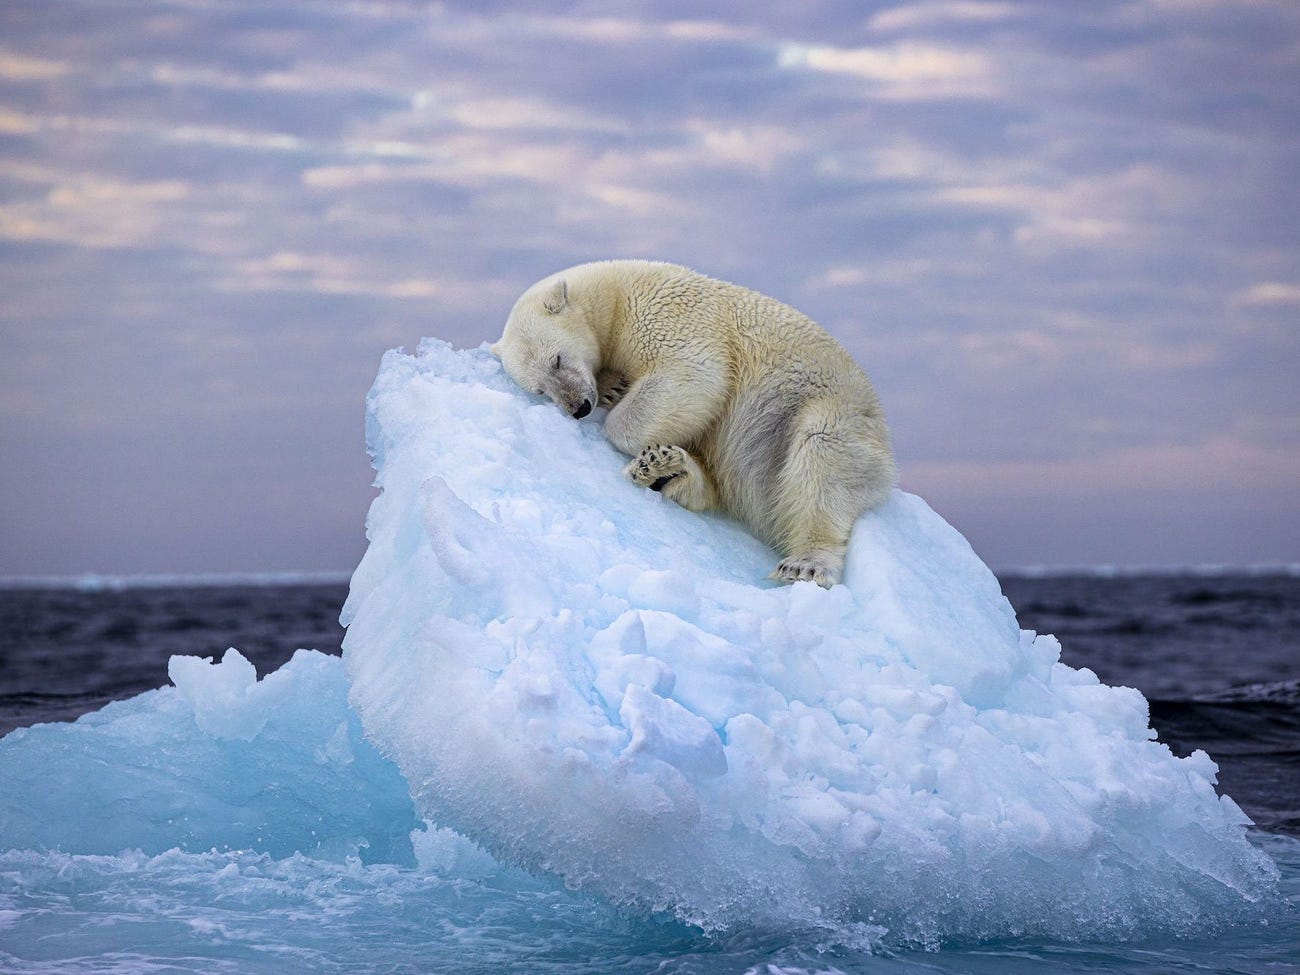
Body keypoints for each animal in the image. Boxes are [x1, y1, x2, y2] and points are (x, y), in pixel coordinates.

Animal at [488, 260, 894, 587]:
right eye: (540, 390)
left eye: (557, 359)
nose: (578, 408)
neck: (615, 295)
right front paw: (612, 387)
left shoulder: (667, 314)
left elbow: (695, 374)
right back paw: (667, 470)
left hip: (824, 408)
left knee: (822, 460)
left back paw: (805, 564)